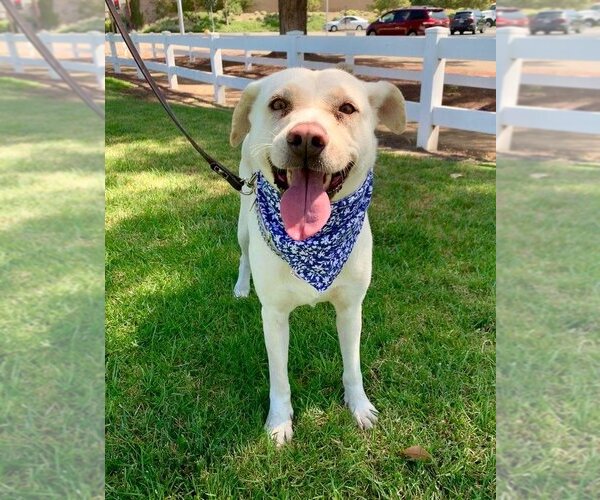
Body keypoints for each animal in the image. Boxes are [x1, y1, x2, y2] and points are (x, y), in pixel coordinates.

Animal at [232, 67, 406, 446]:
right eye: (278, 104)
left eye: (347, 108)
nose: (307, 138)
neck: (314, 243)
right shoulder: (274, 316)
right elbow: (279, 378)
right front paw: (279, 422)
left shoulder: (351, 309)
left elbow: (352, 366)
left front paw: (359, 406)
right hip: (243, 221)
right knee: (244, 255)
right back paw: (240, 287)